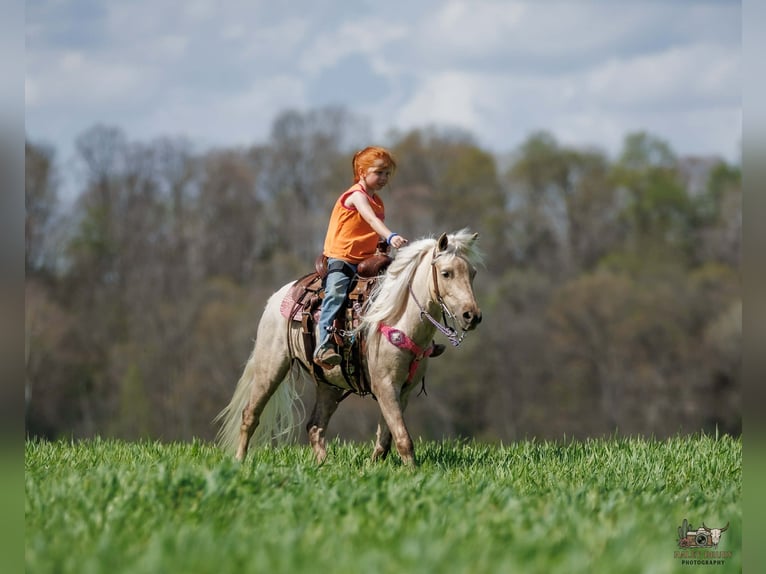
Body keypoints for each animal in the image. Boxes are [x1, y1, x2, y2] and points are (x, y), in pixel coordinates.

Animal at [215, 229, 483, 466]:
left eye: (473, 273)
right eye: (446, 273)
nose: (472, 316)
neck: (399, 319)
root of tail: (278, 297)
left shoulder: (403, 391)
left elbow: (385, 440)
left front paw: (372, 470)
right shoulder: (385, 386)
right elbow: (403, 439)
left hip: (329, 383)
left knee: (315, 426)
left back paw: (324, 466)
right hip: (270, 367)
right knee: (250, 415)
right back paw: (239, 462)